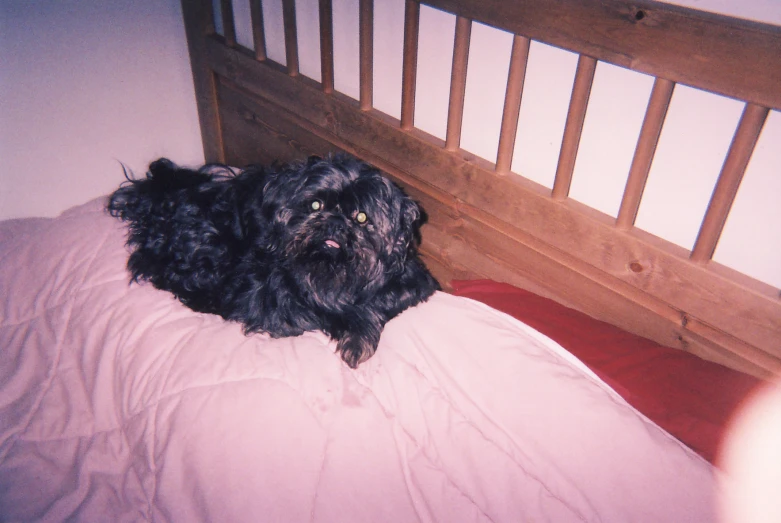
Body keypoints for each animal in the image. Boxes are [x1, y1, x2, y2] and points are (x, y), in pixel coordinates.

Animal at [106, 156, 438, 368]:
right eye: (315, 205)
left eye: (361, 217)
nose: (334, 222)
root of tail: (164, 196)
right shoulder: (274, 300)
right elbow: (326, 310)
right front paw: (354, 330)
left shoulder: (413, 283)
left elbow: (379, 302)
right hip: (206, 248)